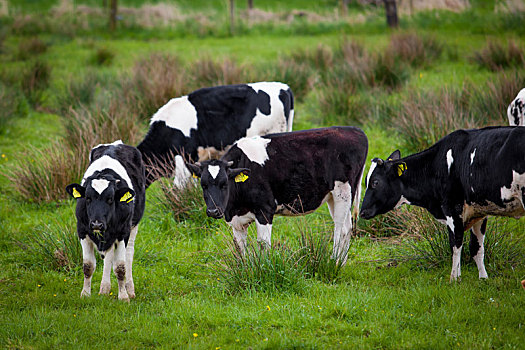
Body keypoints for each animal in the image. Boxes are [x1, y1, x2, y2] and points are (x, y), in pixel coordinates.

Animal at [65, 139, 145, 300]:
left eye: (110, 199)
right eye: (87, 198)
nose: (97, 223)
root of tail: (116, 143)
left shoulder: (122, 232)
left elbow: (120, 267)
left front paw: (123, 296)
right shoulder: (82, 230)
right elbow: (88, 265)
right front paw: (85, 294)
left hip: (133, 227)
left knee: (129, 255)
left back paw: (130, 289)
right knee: (108, 256)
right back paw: (104, 288)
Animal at [186, 126, 366, 262]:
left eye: (224, 184)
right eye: (203, 185)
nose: (213, 211)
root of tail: (353, 129)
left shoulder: (265, 210)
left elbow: (263, 244)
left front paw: (264, 269)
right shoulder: (236, 221)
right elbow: (240, 248)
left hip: (343, 191)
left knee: (340, 228)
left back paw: (334, 263)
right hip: (332, 196)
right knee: (347, 227)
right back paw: (341, 263)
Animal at [360, 127, 524, 284]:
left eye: (375, 182)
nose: (362, 212)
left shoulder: (452, 208)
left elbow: (456, 244)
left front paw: (454, 279)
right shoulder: (479, 210)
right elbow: (476, 248)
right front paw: (483, 279)